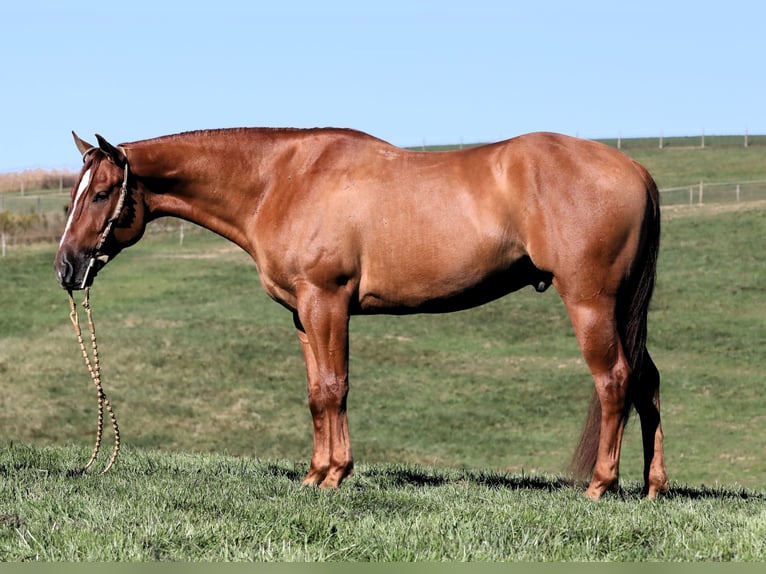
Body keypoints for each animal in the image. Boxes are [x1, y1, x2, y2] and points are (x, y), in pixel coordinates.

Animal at [54, 126, 668, 500]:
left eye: (102, 193)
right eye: (72, 196)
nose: (66, 268)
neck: (281, 179)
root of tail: (635, 169)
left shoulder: (326, 301)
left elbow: (334, 388)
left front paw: (334, 476)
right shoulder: (302, 314)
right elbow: (315, 394)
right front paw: (314, 475)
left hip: (590, 302)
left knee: (615, 380)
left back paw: (600, 484)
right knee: (648, 382)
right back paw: (653, 485)